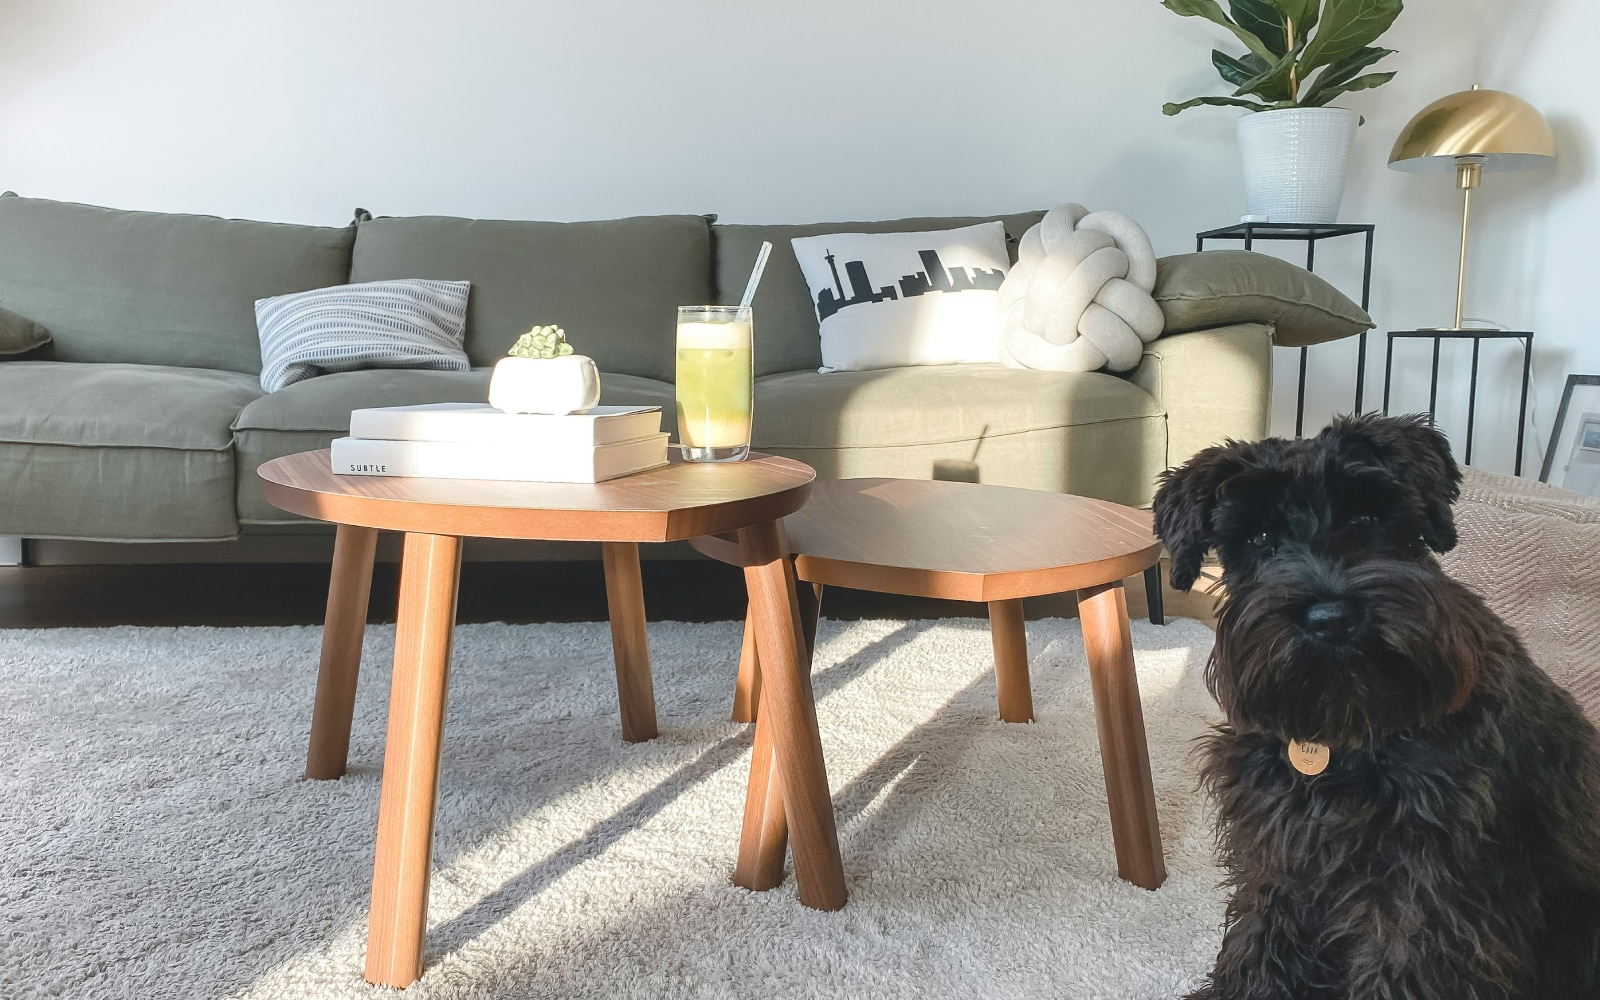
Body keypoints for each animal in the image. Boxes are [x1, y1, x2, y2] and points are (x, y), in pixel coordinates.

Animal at [1158, 412, 1593, 998]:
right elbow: (1259, 935)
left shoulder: (1423, 889)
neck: (1348, 729)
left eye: (1367, 517)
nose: (1331, 618)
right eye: (1259, 538)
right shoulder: (1279, 851)